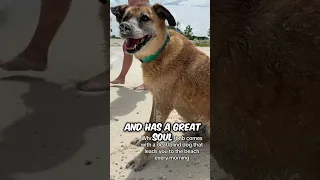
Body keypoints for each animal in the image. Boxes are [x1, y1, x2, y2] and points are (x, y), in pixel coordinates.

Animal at [111, 3, 211, 171]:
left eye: (145, 18)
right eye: (125, 18)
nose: (123, 26)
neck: (160, 51)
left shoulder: (164, 104)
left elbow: (153, 134)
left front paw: (141, 158)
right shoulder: (156, 98)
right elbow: (150, 125)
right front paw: (142, 139)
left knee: (208, 138)